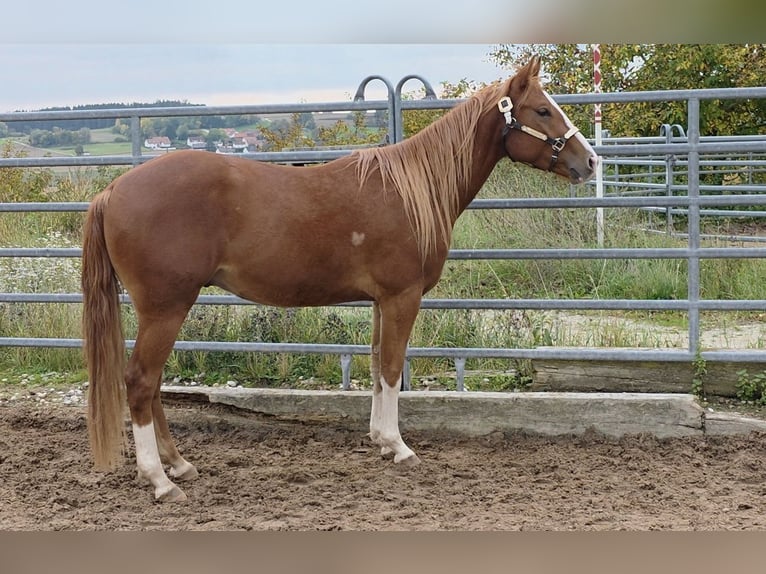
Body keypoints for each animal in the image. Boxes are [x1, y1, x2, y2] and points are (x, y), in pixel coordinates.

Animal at [81, 56, 598, 502]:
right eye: (542, 110)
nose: (590, 162)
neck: (413, 190)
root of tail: (112, 190)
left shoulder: (380, 301)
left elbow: (375, 366)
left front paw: (380, 440)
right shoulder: (402, 297)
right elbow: (391, 368)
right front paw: (400, 447)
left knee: (151, 383)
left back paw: (179, 464)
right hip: (167, 307)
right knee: (140, 382)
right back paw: (160, 481)